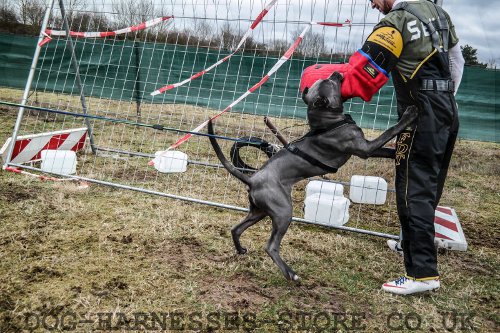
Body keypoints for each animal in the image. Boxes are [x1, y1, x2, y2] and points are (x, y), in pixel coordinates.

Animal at [207, 72, 418, 280]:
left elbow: (388, 150)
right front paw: (409, 115)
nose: (336, 73)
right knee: (270, 246)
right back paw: (291, 274)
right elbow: (390, 131)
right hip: (283, 212)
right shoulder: (364, 148)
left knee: (236, 229)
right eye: (329, 82)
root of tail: (252, 179)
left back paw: (241, 249)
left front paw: (400, 153)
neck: (328, 122)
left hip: (259, 211)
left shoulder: (368, 147)